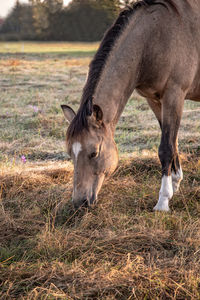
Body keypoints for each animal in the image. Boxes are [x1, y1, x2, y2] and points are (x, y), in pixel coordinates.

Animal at [61, 0, 200, 211]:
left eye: (94, 153)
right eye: (70, 153)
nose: (79, 202)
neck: (154, 38)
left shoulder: (174, 95)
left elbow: (166, 148)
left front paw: (163, 201)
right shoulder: (155, 100)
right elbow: (173, 142)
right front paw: (175, 184)